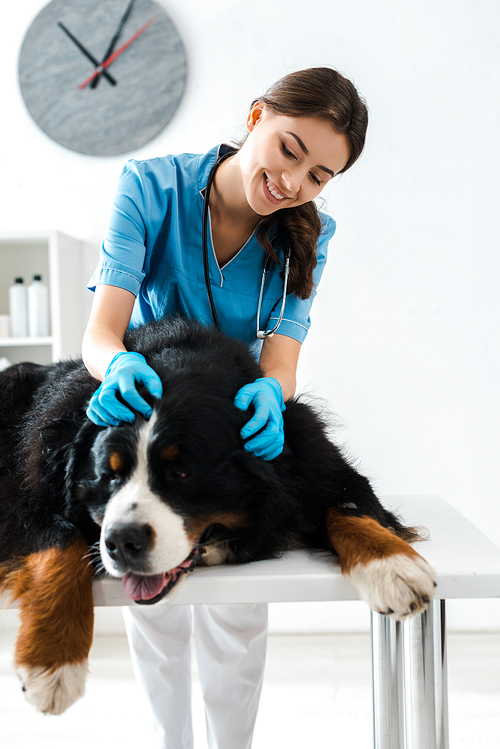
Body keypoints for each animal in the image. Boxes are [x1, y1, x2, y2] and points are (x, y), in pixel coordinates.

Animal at [0, 314, 434, 712]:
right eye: (109, 474)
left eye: (181, 472)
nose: (121, 542)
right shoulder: (25, 491)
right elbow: (59, 540)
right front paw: (53, 662)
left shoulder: (310, 453)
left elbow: (349, 507)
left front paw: (393, 569)